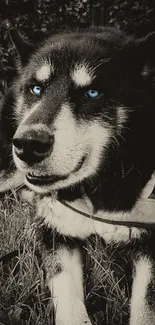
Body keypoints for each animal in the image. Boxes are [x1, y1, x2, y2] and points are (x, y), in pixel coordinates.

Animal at [8, 26, 155, 322]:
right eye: (36, 88)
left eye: (93, 93)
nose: (29, 144)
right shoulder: (54, 235)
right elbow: (66, 292)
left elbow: (147, 305)